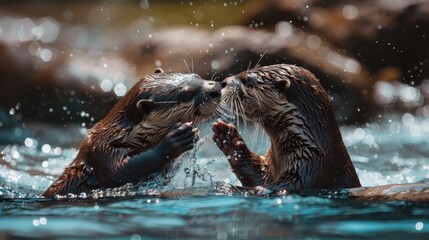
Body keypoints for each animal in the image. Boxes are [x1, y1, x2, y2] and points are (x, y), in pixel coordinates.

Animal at [43, 68, 221, 197]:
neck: (123, 134)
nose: (216, 88)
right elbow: (121, 172)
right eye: (187, 94)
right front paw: (176, 138)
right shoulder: (102, 151)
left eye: (197, 76)